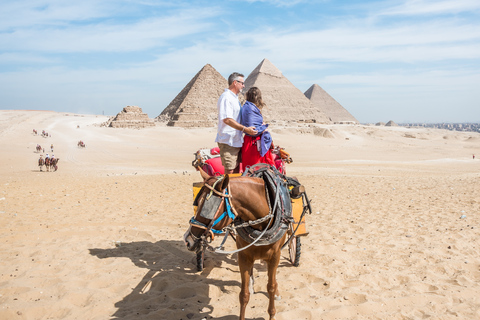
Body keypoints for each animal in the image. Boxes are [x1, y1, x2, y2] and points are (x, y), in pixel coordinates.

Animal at [184, 168, 288, 320]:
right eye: (196, 204)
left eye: (207, 208)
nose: (188, 239)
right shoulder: (244, 256)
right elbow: (244, 295)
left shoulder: (275, 256)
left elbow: (271, 287)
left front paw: (272, 312)